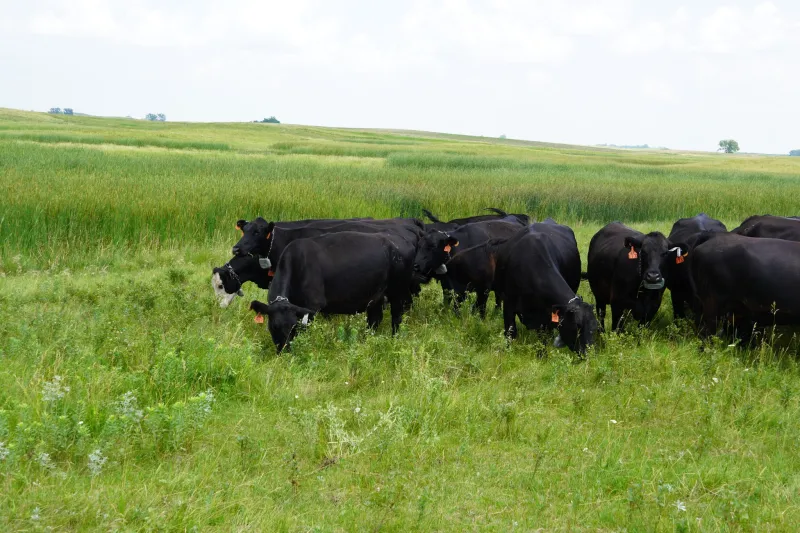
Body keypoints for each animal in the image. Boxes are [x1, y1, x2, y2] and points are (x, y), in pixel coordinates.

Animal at [247, 231, 410, 352]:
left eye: (294, 326)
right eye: (275, 326)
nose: (285, 350)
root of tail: (396, 240)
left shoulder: (313, 305)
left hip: (398, 292)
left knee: (396, 318)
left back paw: (393, 341)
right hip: (376, 297)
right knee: (374, 320)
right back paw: (366, 342)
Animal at [492, 220, 597, 354]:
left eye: (594, 327)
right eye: (577, 326)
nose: (587, 353)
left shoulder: (546, 314)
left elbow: (543, 339)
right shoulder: (508, 303)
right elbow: (510, 332)